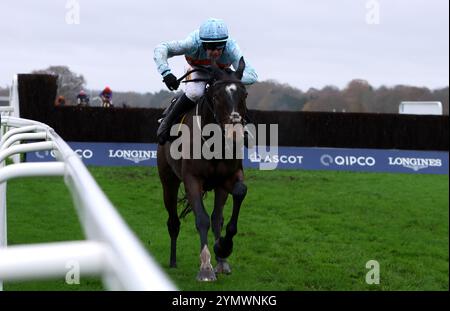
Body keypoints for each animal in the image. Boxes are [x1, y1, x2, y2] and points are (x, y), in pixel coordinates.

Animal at [157, 56, 250, 282]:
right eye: (216, 96)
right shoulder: (192, 179)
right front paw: (206, 268)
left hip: (218, 186)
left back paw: (222, 260)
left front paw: (223, 248)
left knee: (217, 218)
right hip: (168, 181)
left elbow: (239, 194)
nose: (235, 134)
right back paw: (173, 261)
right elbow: (201, 219)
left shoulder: (229, 177)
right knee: (173, 221)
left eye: (244, 95)